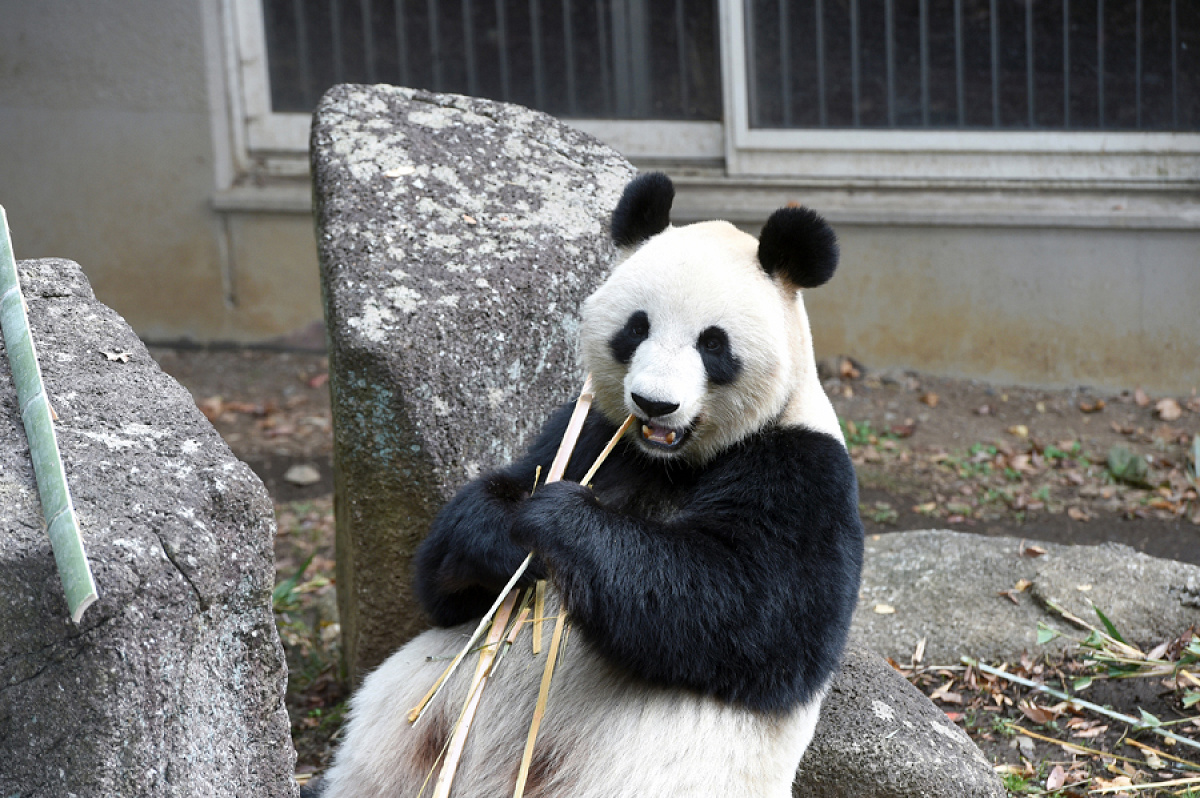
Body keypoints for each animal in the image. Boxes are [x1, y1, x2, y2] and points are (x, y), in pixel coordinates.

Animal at [319, 171, 864, 792]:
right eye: (636, 327)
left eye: (713, 343)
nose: (654, 403)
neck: (668, 461)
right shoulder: (587, 431)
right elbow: (447, 587)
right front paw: (504, 536)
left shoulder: (801, 468)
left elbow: (753, 611)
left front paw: (559, 521)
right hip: (400, 740)